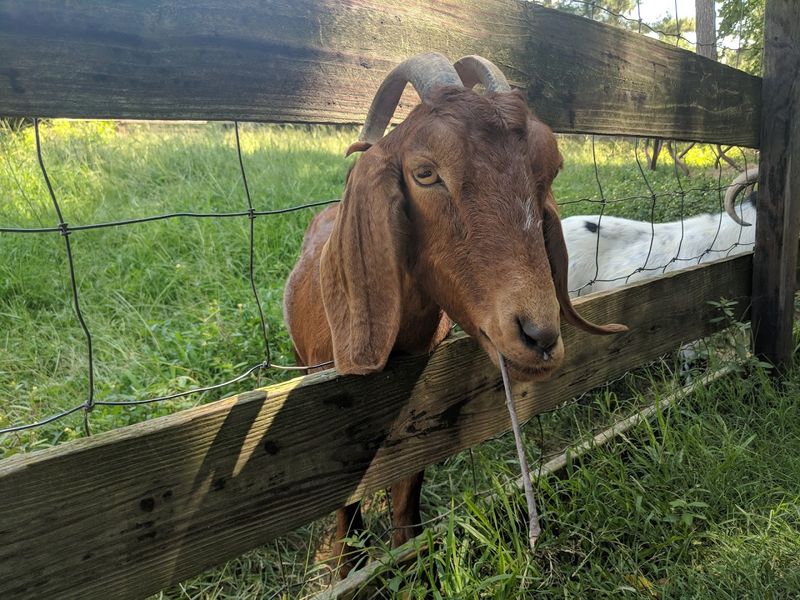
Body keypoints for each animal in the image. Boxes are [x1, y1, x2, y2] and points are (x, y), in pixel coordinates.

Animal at [282, 53, 626, 576]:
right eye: (425, 173)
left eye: (550, 169)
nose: (540, 335)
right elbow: (346, 517)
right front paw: (348, 572)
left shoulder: (414, 428)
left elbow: (406, 505)